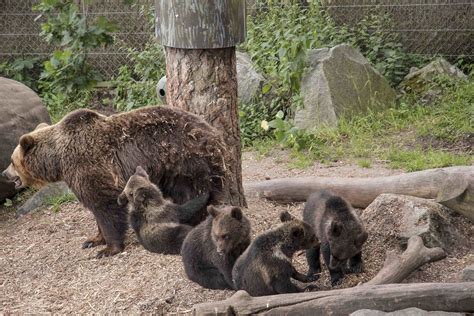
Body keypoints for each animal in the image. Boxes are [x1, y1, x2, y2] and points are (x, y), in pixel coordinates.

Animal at [1, 105, 231, 256]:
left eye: (11, 161)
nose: (4, 174)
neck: (58, 160)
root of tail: (215, 135)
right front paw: (93, 240)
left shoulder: (90, 166)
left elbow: (106, 207)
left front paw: (108, 248)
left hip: (186, 161)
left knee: (195, 193)